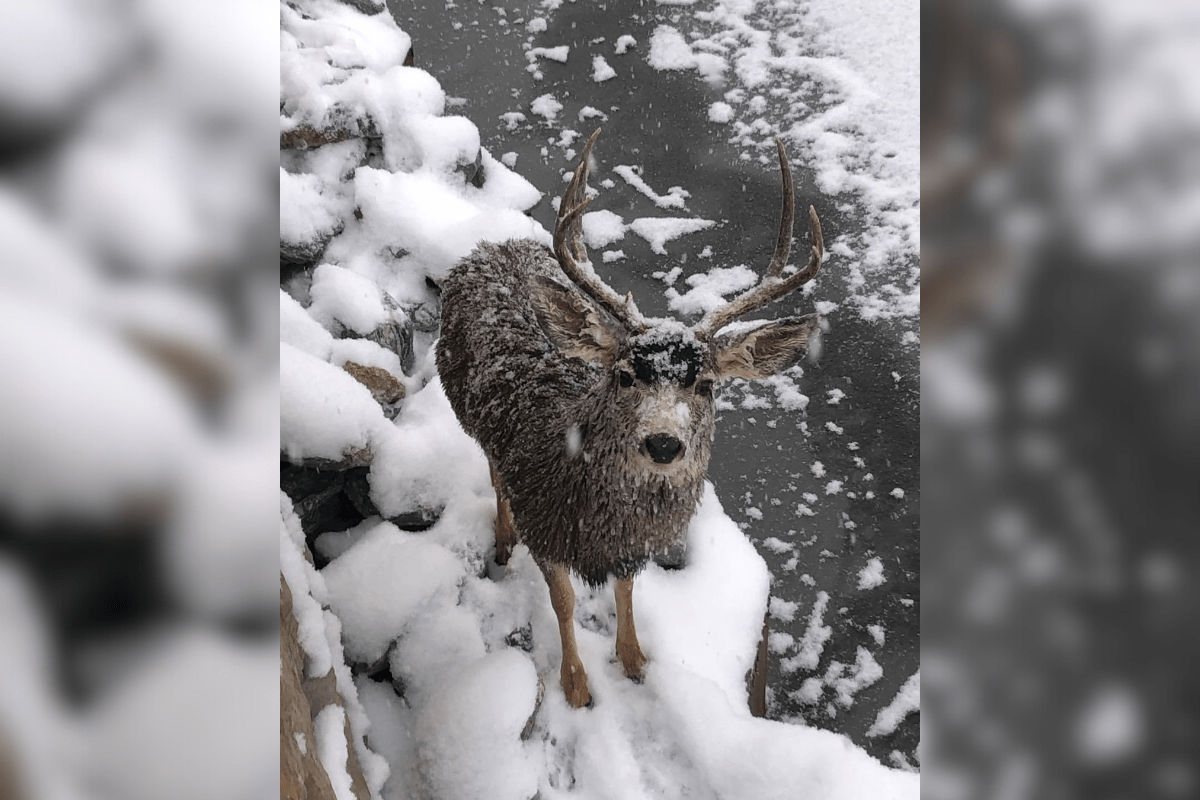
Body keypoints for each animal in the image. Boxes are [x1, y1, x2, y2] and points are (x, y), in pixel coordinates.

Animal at [435, 129, 824, 708]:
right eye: (623, 376)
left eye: (706, 385)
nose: (663, 444)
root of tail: (491, 248)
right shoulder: (544, 520)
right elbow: (565, 600)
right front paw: (576, 686)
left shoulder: (631, 546)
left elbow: (627, 588)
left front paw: (636, 660)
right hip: (467, 411)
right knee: (494, 473)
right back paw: (502, 541)